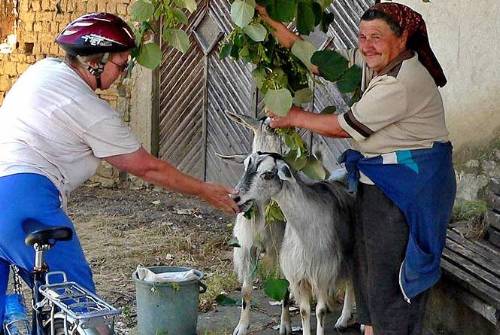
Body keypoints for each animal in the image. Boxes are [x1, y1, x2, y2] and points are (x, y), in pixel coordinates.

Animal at [233, 153, 356, 335]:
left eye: (268, 174)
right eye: (245, 166)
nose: (235, 197)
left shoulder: (322, 273)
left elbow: (320, 311)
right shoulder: (298, 274)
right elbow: (304, 311)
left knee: (351, 283)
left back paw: (344, 319)